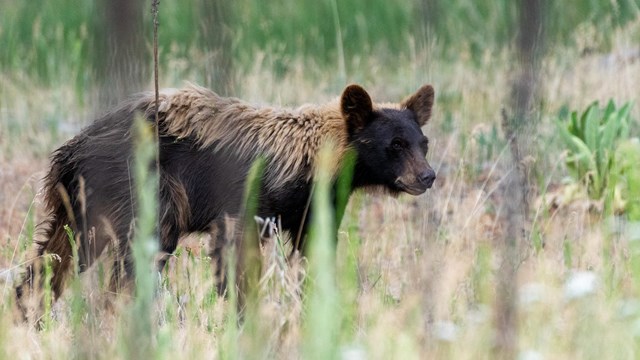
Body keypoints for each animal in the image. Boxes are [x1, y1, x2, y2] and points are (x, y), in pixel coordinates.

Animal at [15, 83, 438, 314]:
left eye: (423, 142)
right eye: (395, 144)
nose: (428, 176)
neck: (312, 161)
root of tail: (71, 148)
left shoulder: (314, 207)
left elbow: (311, 254)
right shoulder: (247, 199)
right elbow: (236, 257)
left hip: (74, 204)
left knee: (53, 259)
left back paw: (29, 314)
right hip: (139, 191)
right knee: (130, 259)